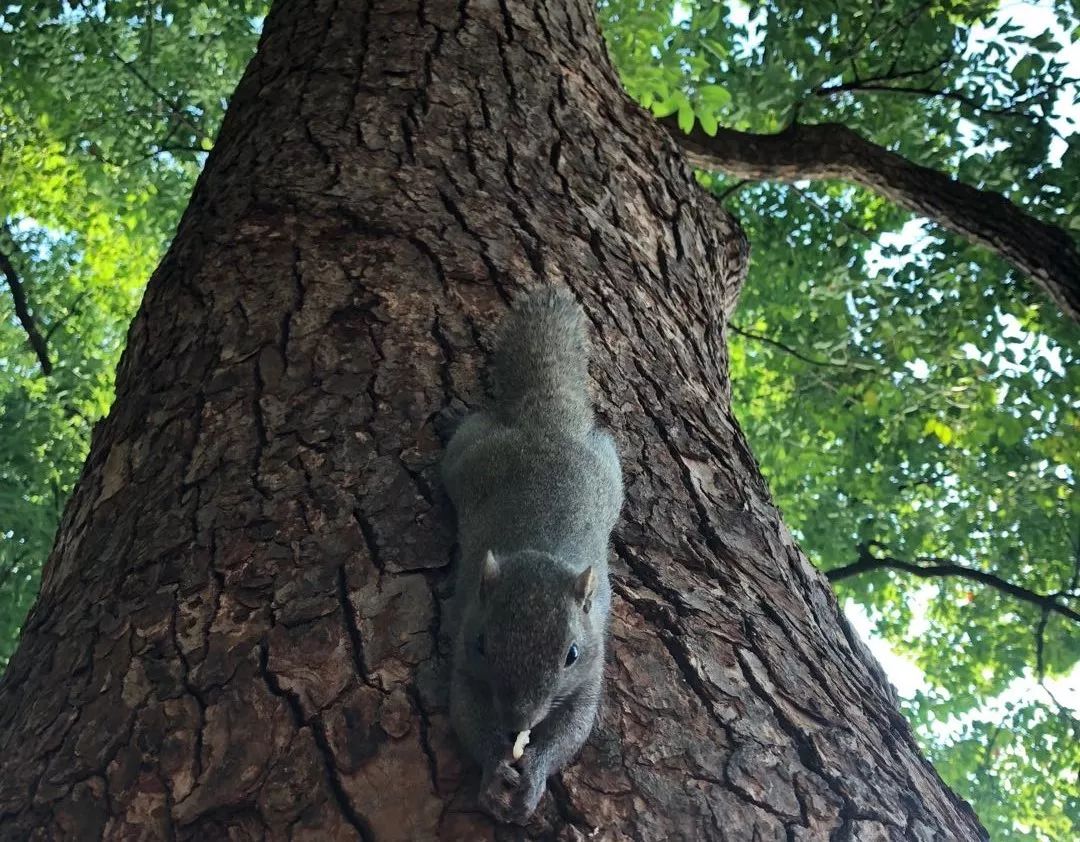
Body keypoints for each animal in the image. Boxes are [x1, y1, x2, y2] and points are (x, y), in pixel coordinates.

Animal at [440, 287, 626, 820]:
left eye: (571, 654)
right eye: (484, 644)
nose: (517, 721)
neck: (539, 551)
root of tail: (547, 423)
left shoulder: (593, 669)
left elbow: (574, 728)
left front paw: (535, 772)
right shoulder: (462, 650)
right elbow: (464, 711)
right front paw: (492, 769)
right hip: (466, 455)